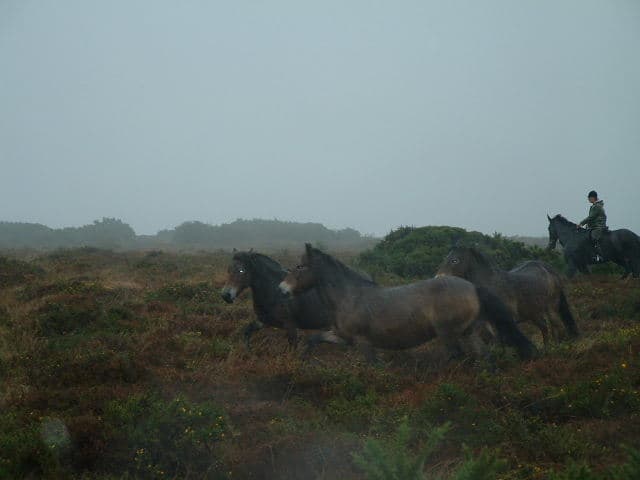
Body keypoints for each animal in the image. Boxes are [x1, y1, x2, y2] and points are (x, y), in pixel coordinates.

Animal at [278, 243, 537, 363]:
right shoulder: (343, 337)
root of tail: (472, 287)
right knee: (484, 357)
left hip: (448, 333)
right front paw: (302, 360)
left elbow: (374, 366)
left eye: (300, 266)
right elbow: (314, 339)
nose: (281, 289)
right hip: (469, 331)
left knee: (458, 357)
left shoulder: (363, 342)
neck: (349, 296)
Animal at [436, 246, 579, 345]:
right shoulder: (490, 324)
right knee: (544, 327)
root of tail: (549, 269)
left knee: (557, 327)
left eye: (455, 260)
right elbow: (498, 343)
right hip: (533, 313)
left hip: (551, 308)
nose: (438, 278)